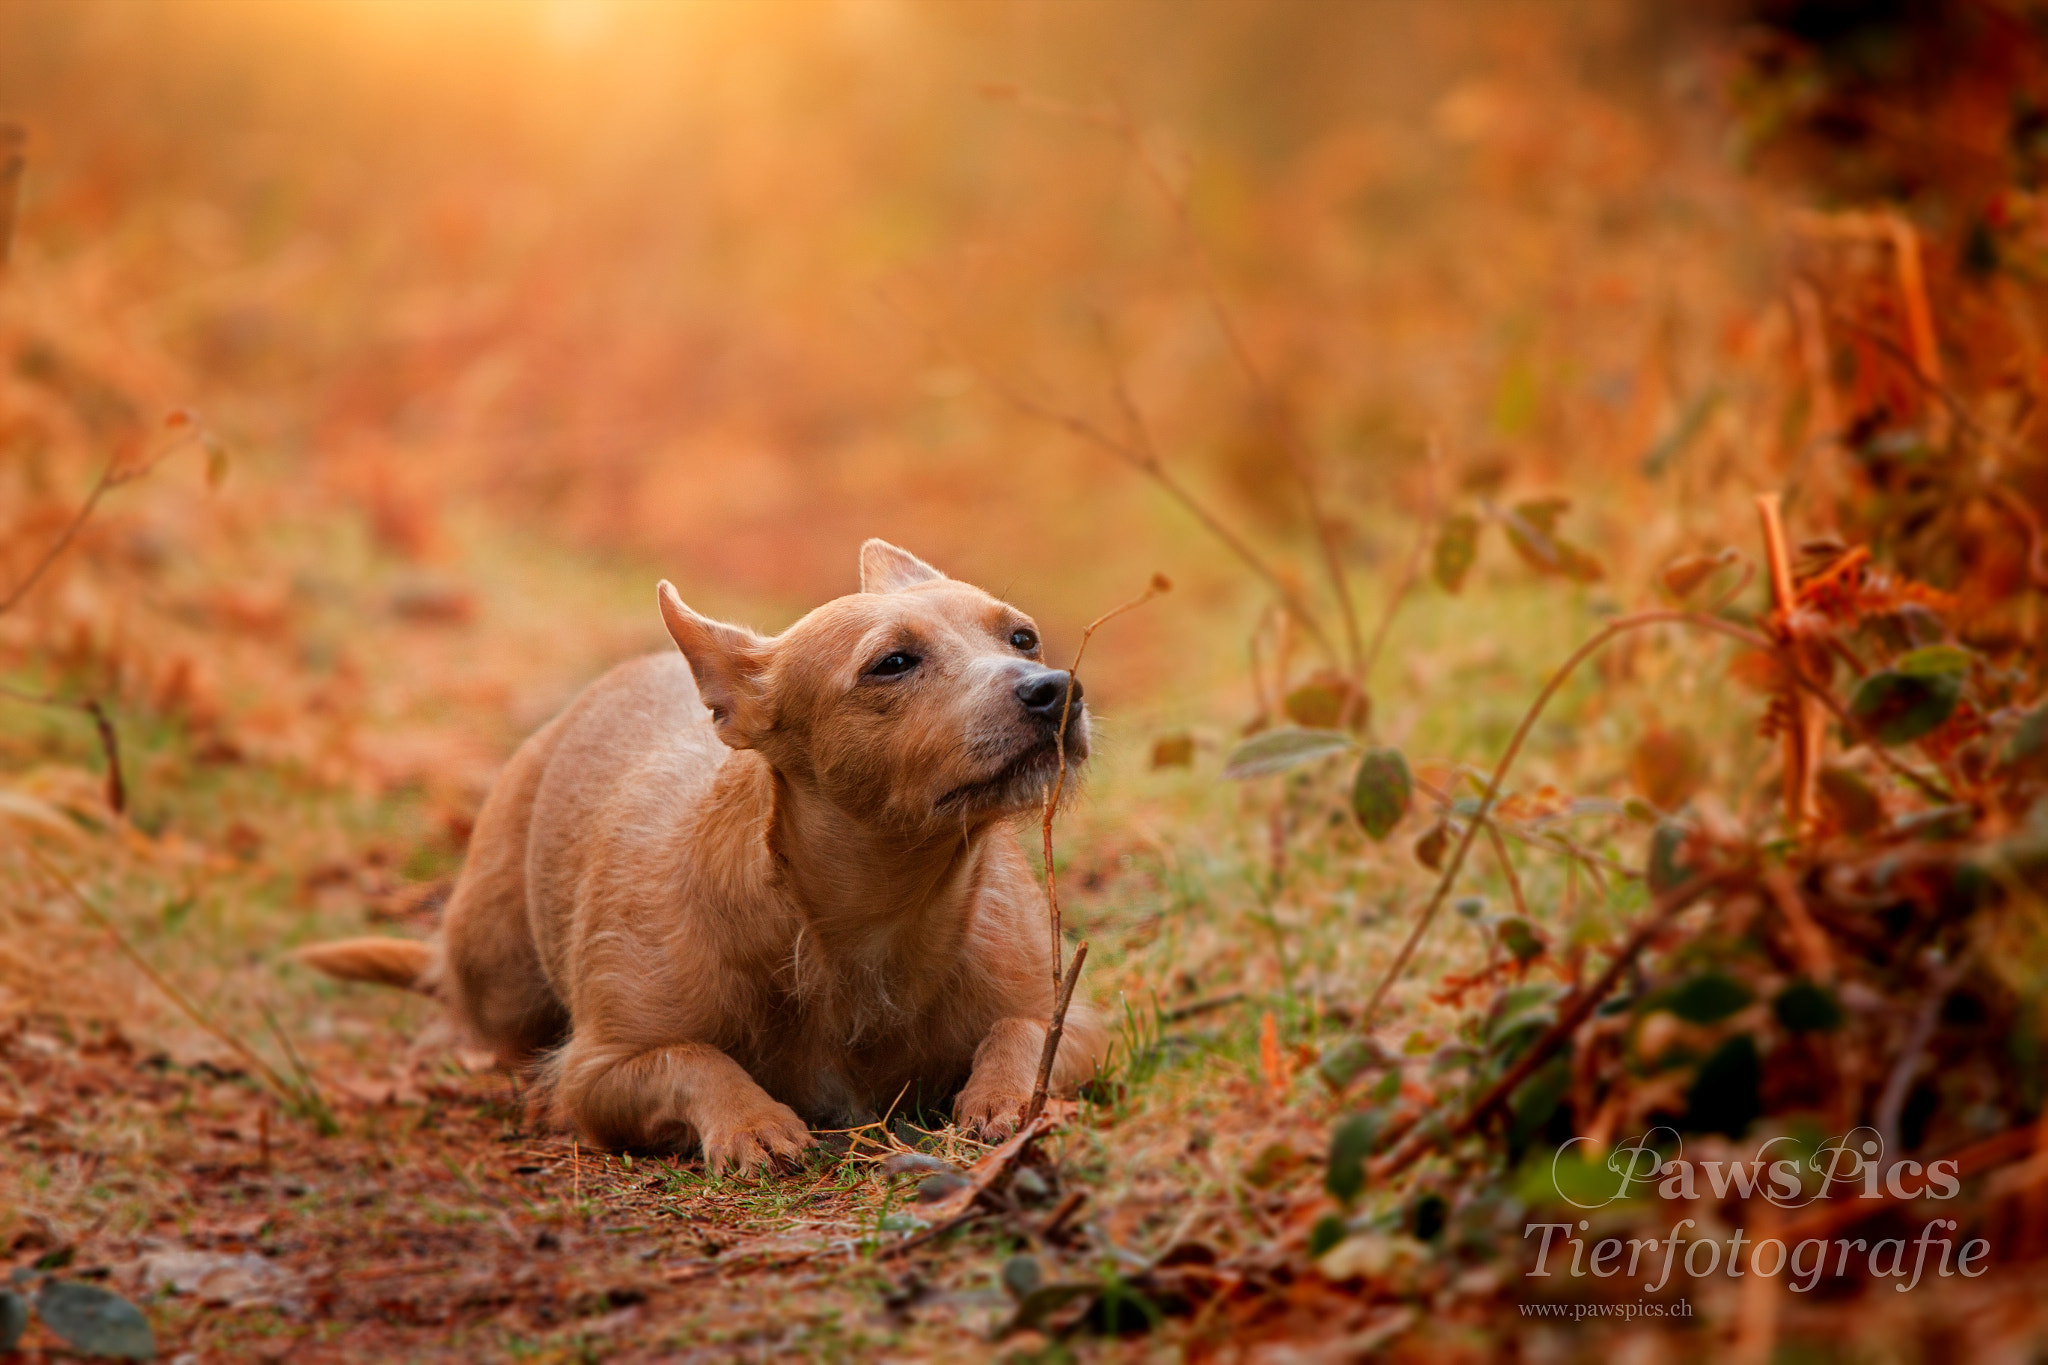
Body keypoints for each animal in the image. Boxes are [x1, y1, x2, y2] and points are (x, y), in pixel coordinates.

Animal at [299, 540, 1105, 1170]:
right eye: (893, 663)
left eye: (1023, 638)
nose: (1057, 688)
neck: (870, 919)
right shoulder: (598, 1070)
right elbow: (692, 1058)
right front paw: (751, 1121)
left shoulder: (1070, 1019)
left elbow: (1021, 1030)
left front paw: (1002, 1093)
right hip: (498, 971)